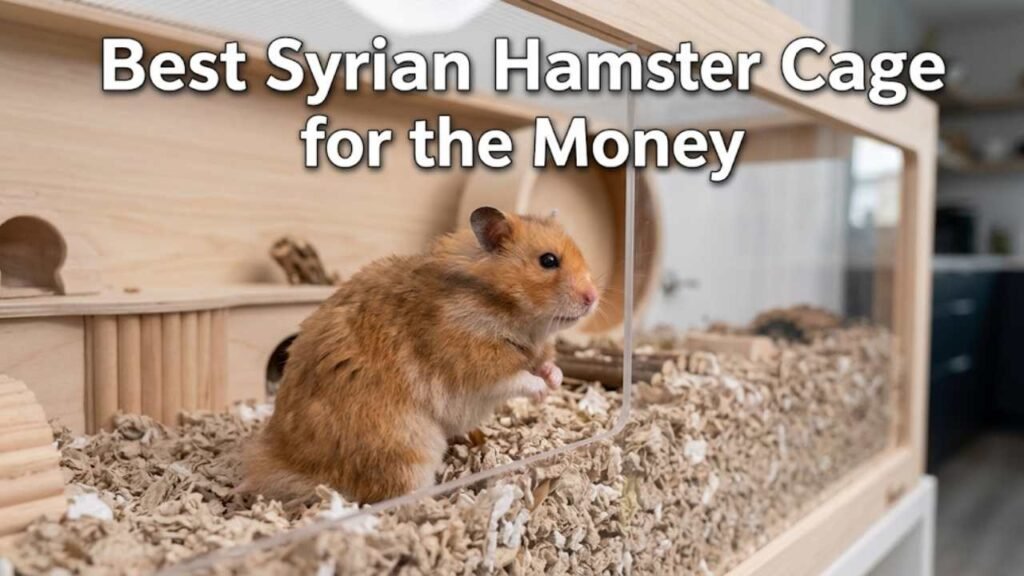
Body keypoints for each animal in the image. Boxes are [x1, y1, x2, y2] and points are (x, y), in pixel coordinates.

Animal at [240, 207, 599, 504]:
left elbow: (545, 365)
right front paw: (543, 392)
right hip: (407, 449)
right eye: (548, 261)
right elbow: (517, 378)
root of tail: (291, 464)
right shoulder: (475, 363)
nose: (593, 298)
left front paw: (555, 380)